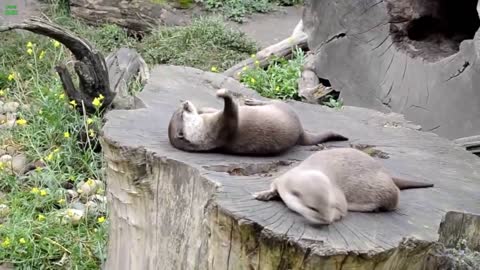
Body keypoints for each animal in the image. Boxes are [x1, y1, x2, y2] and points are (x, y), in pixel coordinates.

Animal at [167, 88, 346, 155]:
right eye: (182, 114)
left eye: (180, 110)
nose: (185, 103)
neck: (205, 128)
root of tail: (300, 132)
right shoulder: (223, 127)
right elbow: (231, 111)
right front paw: (223, 94)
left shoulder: (212, 118)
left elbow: (210, 109)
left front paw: (203, 107)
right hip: (284, 108)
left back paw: (252, 101)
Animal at [255, 147, 436, 225]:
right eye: (313, 208)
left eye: (330, 205)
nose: (326, 220)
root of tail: (387, 173)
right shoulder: (282, 179)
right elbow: (273, 187)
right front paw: (263, 194)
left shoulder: (338, 197)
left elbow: (343, 211)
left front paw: (337, 216)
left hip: (387, 191)